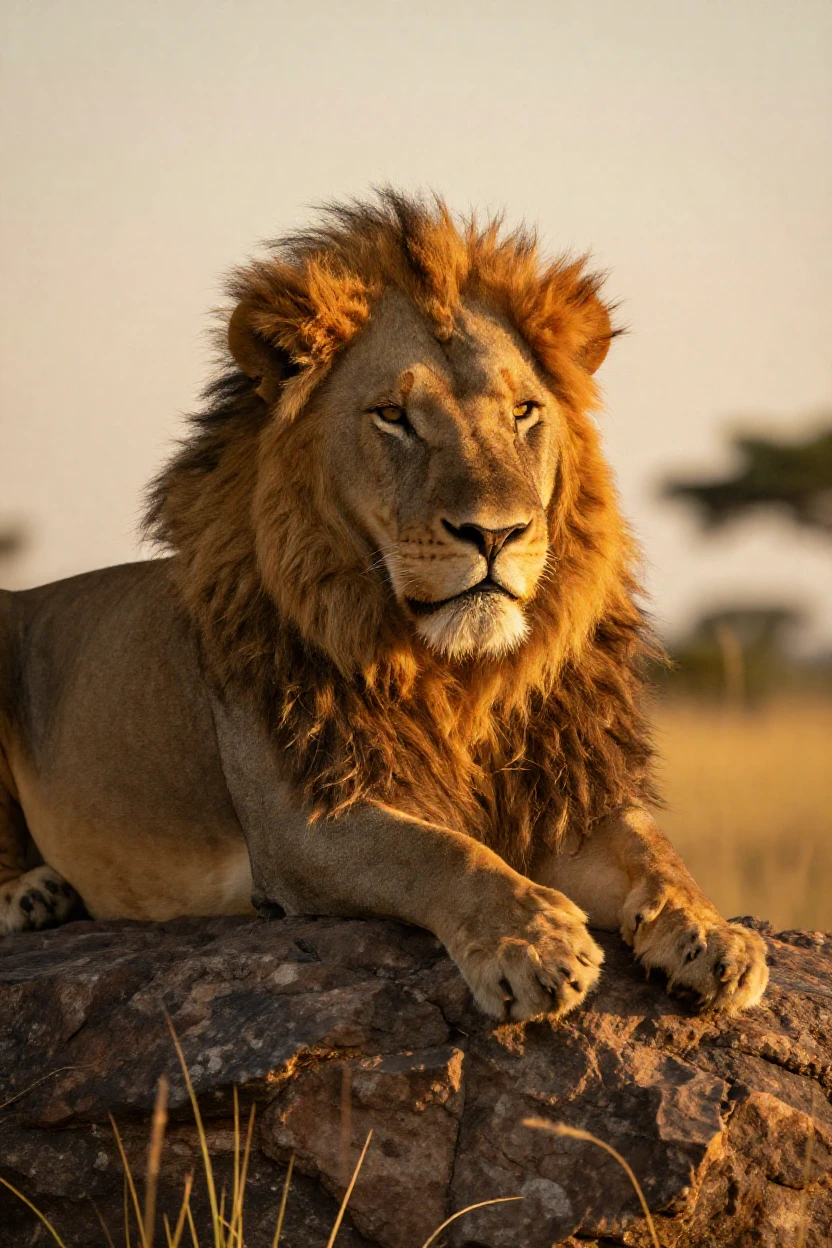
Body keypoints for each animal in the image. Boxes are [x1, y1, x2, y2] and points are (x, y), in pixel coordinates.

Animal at [0, 192, 768, 1018]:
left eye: (524, 411)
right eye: (394, 416)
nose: (495, 533)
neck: (459, 676)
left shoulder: (558, 790)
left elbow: (652, 850)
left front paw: (712, 934)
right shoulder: (301, 823)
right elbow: (441, 851)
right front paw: (530, 942)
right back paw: (32, 895)